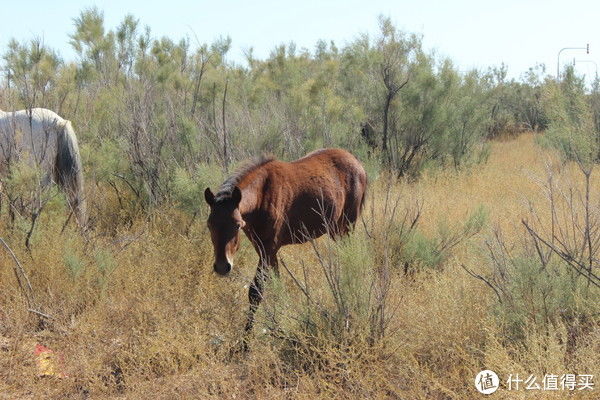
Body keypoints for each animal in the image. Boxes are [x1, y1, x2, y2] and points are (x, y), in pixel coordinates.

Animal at [204, 148, 368, 332]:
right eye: (209, 224)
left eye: (237, 225)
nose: (222, 267)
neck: (262, 194)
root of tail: (356, 162)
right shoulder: (265, 250)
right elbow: (275, 284)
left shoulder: (268, 249)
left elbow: (256, 291)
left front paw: (247, 336)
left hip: (346, 228)